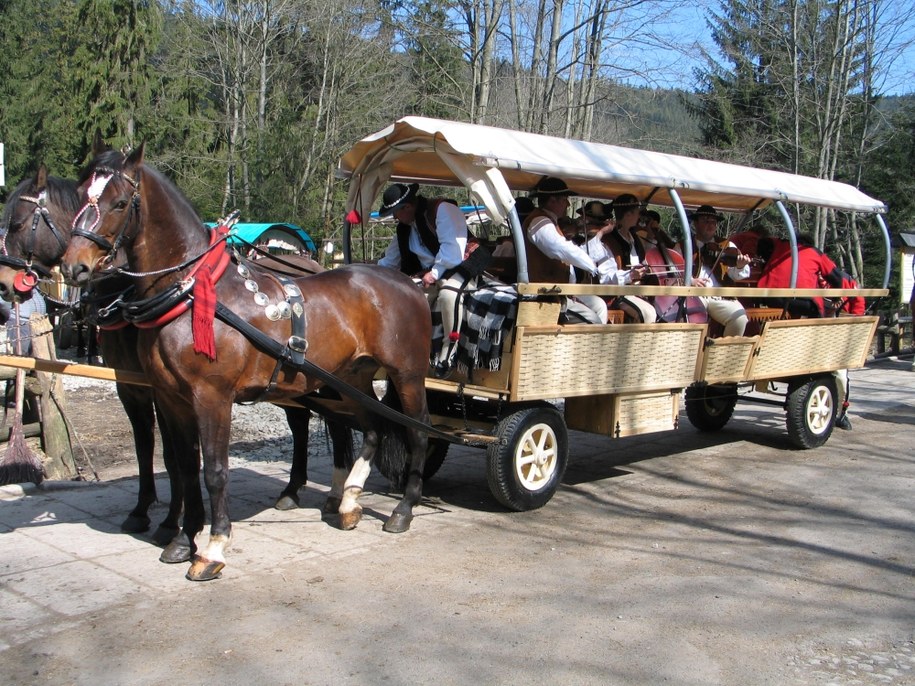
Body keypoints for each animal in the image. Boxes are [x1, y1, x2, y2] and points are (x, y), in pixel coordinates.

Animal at [60, 142, 432, 584]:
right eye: (80, 195)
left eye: (119, 202)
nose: (73, 266)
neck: (193, 292)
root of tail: (407, 283)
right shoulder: (170, 398)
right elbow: (186, 467)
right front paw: (182, 540)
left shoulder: (211, 397)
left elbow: (214, 470)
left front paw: (213, 549)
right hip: (350, 379)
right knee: (372, 429)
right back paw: (348, 503)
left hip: (407, 376)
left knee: (417, 433)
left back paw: (403, 509)